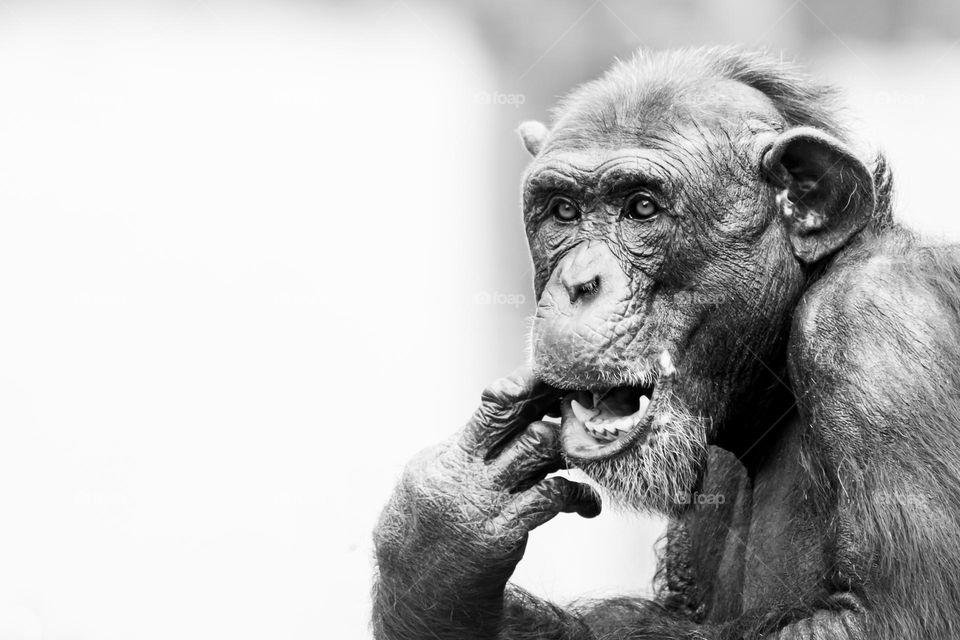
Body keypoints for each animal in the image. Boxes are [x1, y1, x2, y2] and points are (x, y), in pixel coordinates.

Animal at [371, 46, 960, 639]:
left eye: (641, 208)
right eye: (563, 211)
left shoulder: (876, 334)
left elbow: (889, 615)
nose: (578, 283)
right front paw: (440, 536)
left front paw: (440, 542)